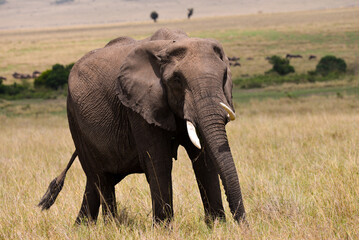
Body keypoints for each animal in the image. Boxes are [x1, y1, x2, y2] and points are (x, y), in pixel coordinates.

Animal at [39, 27, 248, 225]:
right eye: (177, 80)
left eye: (224, 76)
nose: (244, 226)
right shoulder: (137, 106)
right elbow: (158, 161)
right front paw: (164, 229)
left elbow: (204, 160)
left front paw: (216, 226)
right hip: (74, 118)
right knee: (100, 178)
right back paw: (111, 226)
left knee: (95, 182)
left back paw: (83, 227)